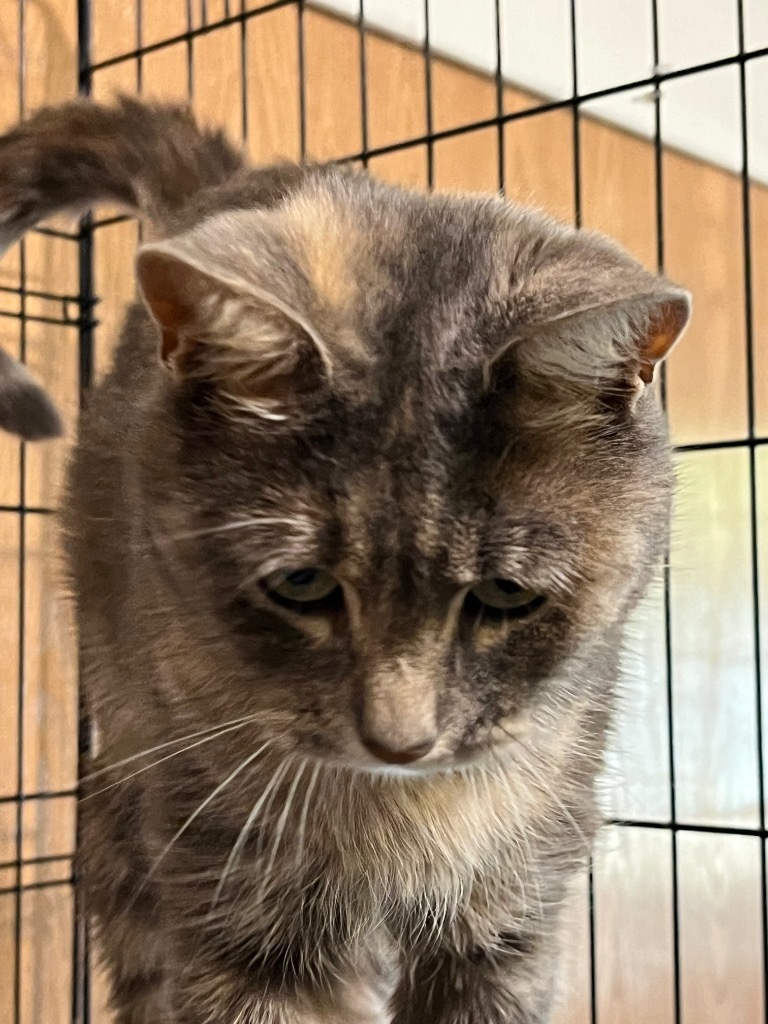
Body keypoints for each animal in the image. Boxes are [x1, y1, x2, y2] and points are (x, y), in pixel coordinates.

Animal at [0, 97, 692, 1024]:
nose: (401, 740)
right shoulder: (233, 886)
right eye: (301, 584)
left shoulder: (520, 898)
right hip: (126, 804)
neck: (405, 811)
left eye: (506, 593)